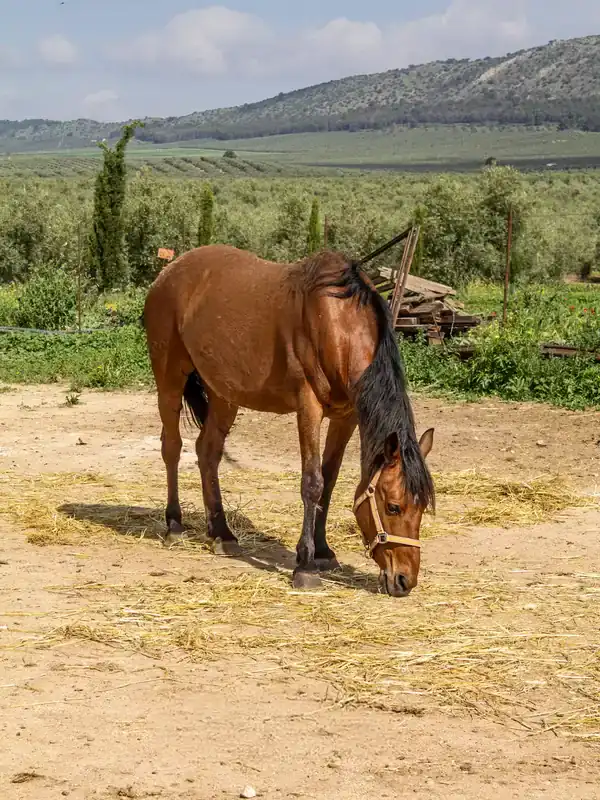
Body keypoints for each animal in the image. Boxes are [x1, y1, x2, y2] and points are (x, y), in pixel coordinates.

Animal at [143, 244, 435, 597]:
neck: (336, 322)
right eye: (393, 506)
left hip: (223, 393)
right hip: (170, 378)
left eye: (422, 508)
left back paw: (222, 533)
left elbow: (329, 482)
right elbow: (312, 483)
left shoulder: (346, 416)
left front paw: (323, 551)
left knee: (207, 451)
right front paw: (305, 565)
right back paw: (174, 525)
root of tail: (167, 273)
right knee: (172, 447)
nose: (405, 580)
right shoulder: (308, 407)